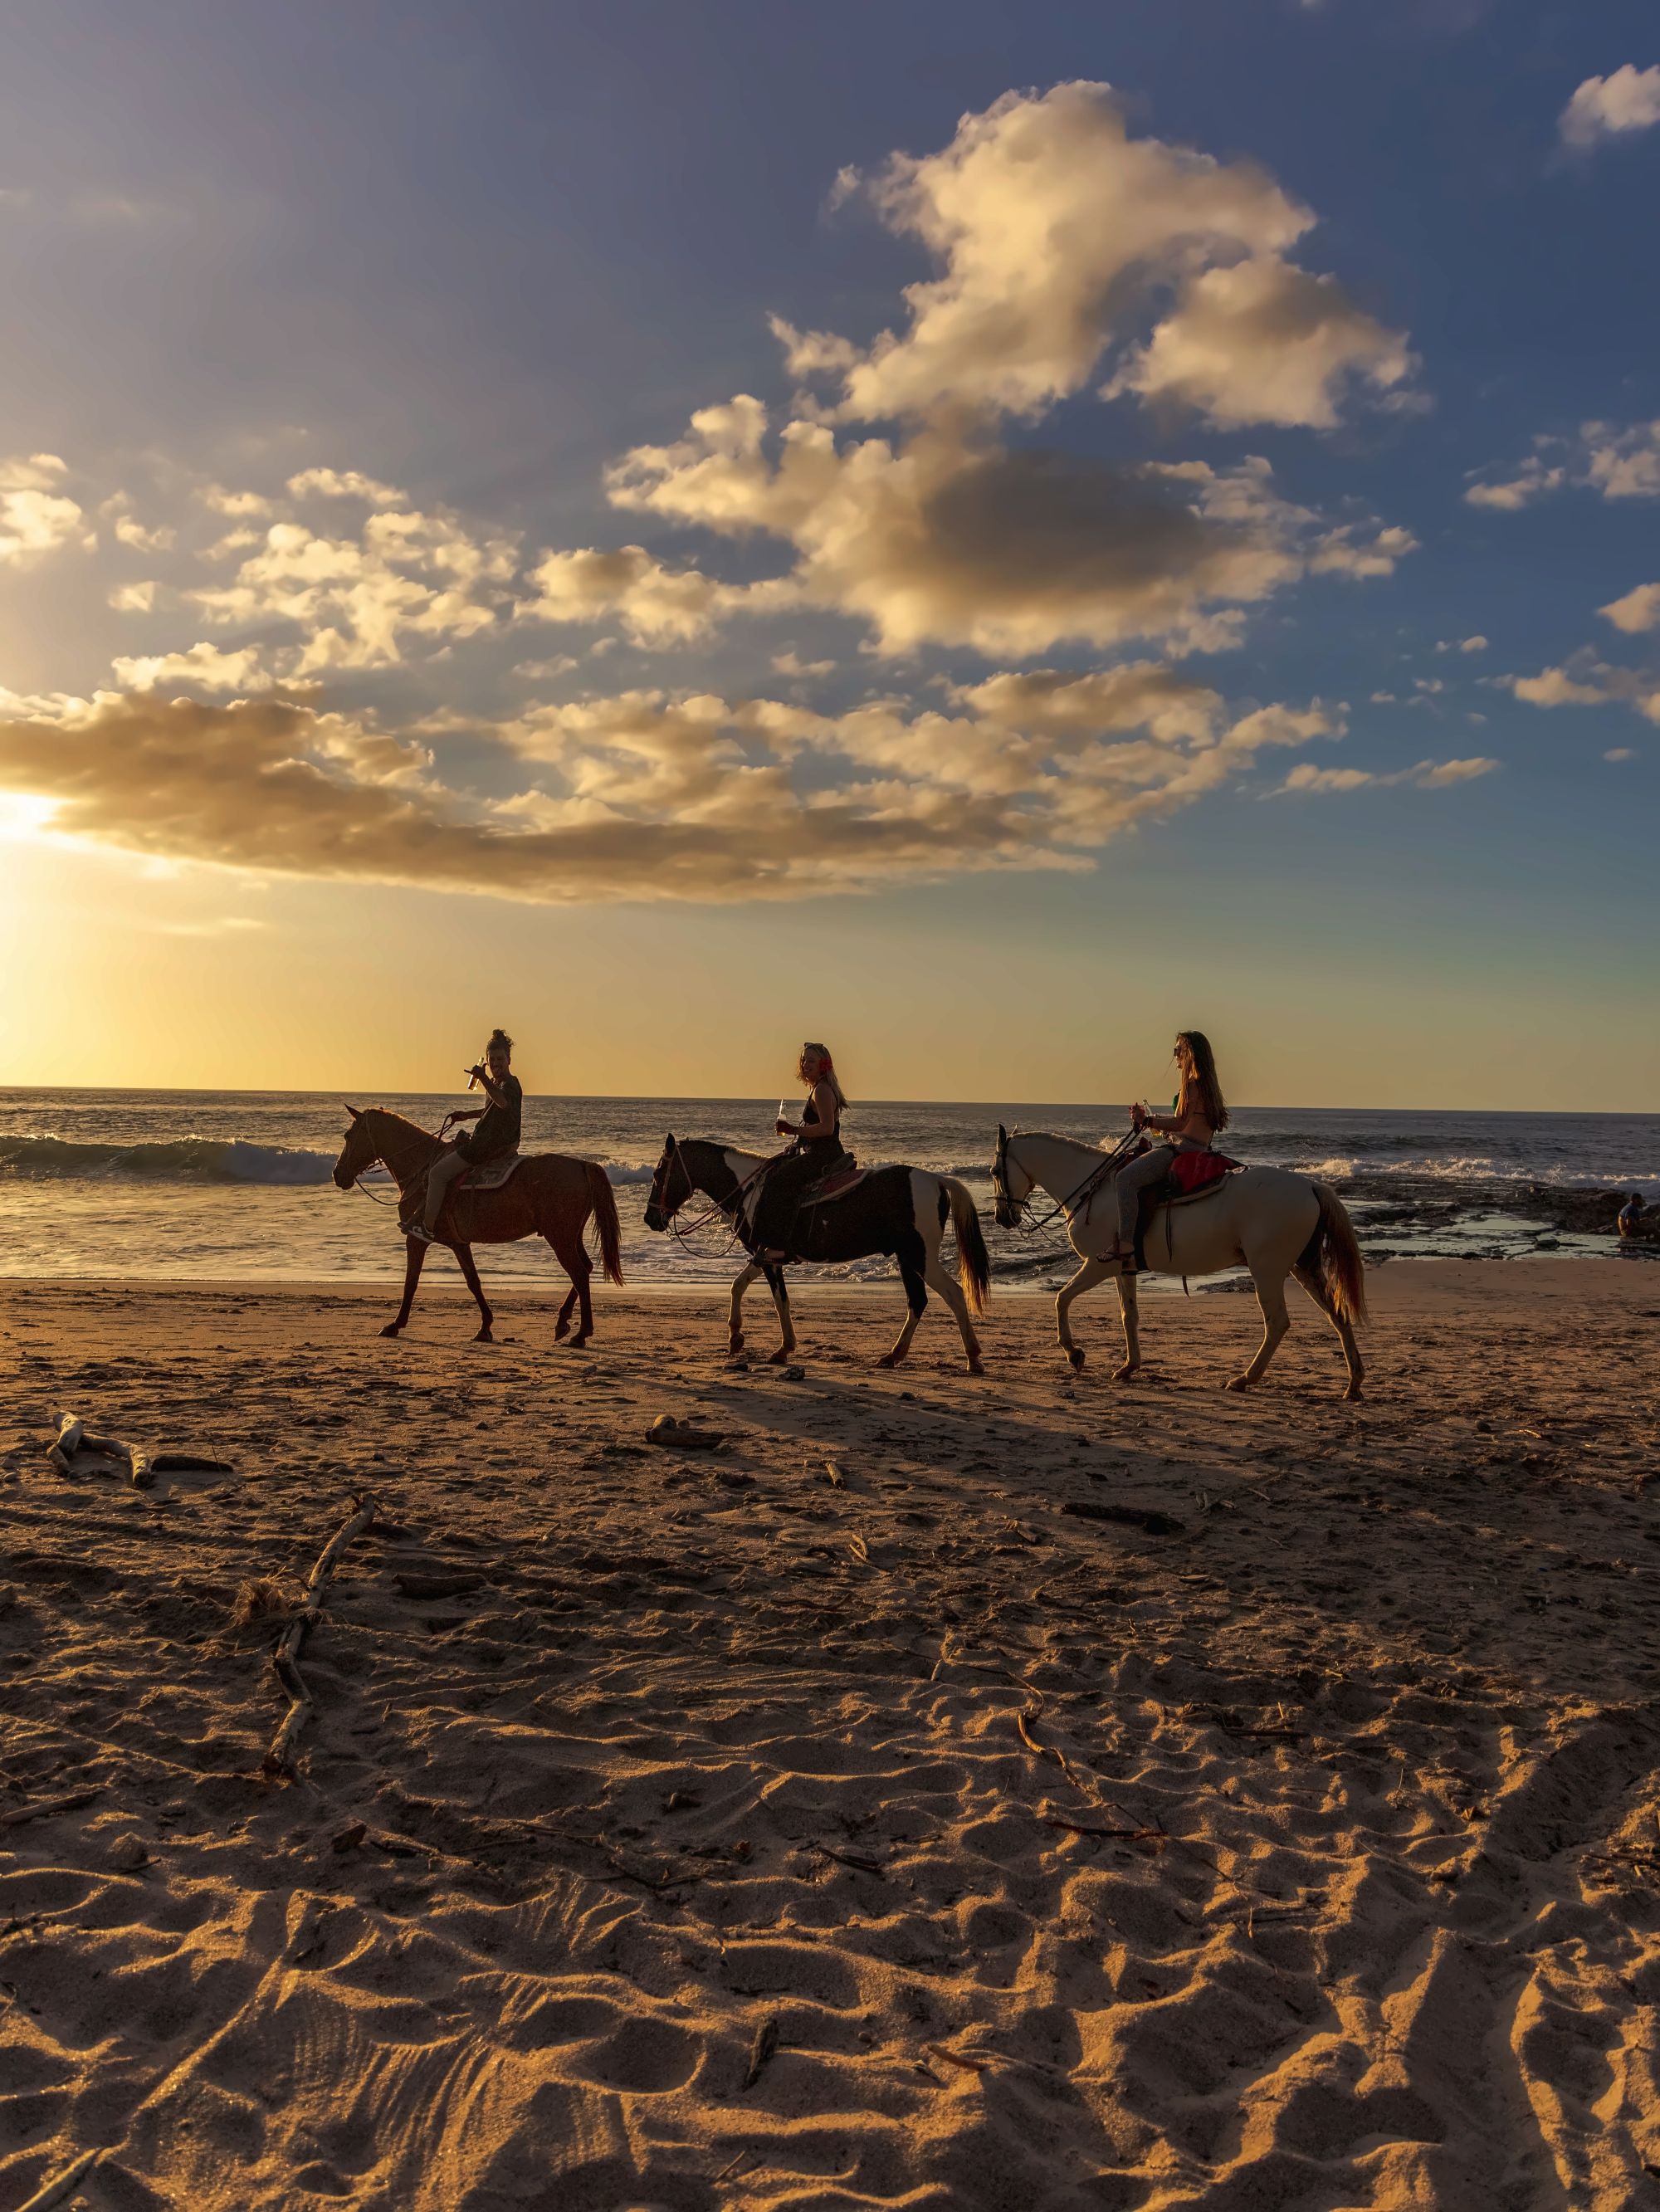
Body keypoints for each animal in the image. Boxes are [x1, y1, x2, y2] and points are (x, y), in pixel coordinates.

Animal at [331, 1106, 623, 1344]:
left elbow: (411, 1281)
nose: (337, 1174)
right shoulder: (458, 1243)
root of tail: (582, 1165)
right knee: (585, 1268)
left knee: (579, 1273)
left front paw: (395, 1324)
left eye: (348, 1136)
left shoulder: (416, 1239)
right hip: (571, 1236)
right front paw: (485, 1327)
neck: (423, 1167)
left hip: (560, 1237)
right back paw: (563, 1322)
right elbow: (473, 1281)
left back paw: (581, 1333)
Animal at [643, 1135, 991, 1373]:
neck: (750, 1190)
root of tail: (936, 1180)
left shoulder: (768, 1255)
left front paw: (781, 1348)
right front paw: (737, 1337)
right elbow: (739, 1285)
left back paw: (973, 1357)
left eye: (659, 1174)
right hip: (907, 1258)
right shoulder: (765, 1255)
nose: (651, 1219)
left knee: (954, 1293)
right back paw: (893, 1355)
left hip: (920, 1256)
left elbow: (777, 1299)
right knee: (917, 1301)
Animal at [991, 1126, 1367, 1398]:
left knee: (1277, 1323)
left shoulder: (1099, 1265)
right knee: (1336, 1314)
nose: (1001, 1218)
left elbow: (1061, 1299)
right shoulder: (1123, 1268)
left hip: (1268, 1269)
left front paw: (1073, 1353)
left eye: (995, 1170)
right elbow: (1129, 1315)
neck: (1092, 1190)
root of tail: (1310, 1186)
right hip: (1303, 1266)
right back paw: (1354, 1383)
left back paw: (1244, 1379)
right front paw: (1129, 1367)